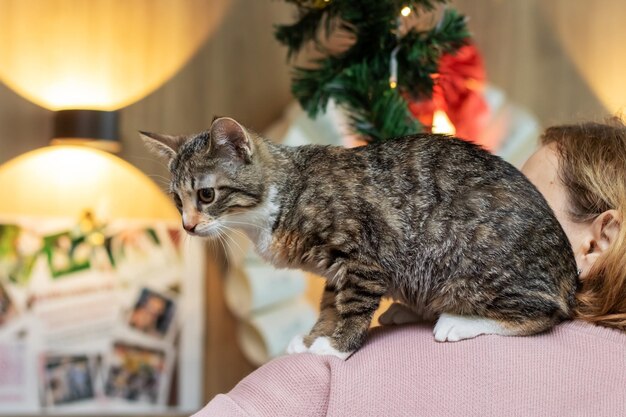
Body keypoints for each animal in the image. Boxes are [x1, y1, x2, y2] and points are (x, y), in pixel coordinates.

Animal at [141, 116, 576, 358]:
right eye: (177, 201)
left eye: (206, 195)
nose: (188, 226)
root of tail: (568, 276)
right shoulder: (337, 269)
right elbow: (331, 303)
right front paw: (314, 336)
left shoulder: (365, 256)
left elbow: (353, 305)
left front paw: (336, 347)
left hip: (468, 263)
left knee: (544, 313)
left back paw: (457, 322)